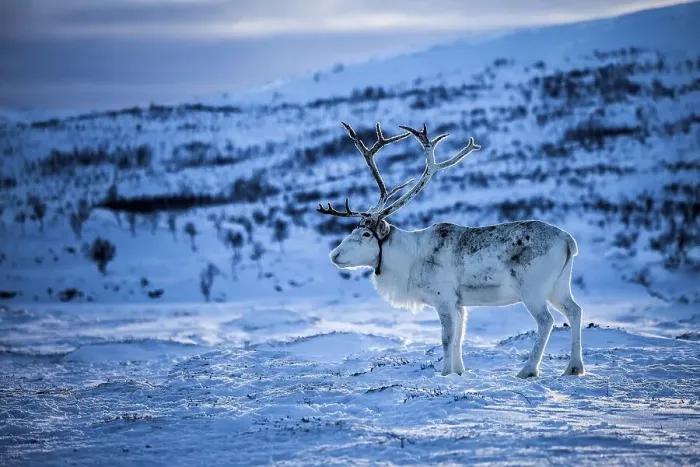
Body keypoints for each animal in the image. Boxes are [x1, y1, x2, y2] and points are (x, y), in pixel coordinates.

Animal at [317, 122, 584, 378]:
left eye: (365, 234)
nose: (334, 254)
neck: (408, 260)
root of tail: (568, 240)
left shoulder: (443, 297)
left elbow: (446, 338)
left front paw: (445, 372)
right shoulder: (459, 302)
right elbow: (459, 337)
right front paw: (459, 371)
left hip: (532, 289)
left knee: (546, 321)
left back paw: (528, 370)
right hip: (559, 286)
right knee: (575, 310)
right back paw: (574, 367)